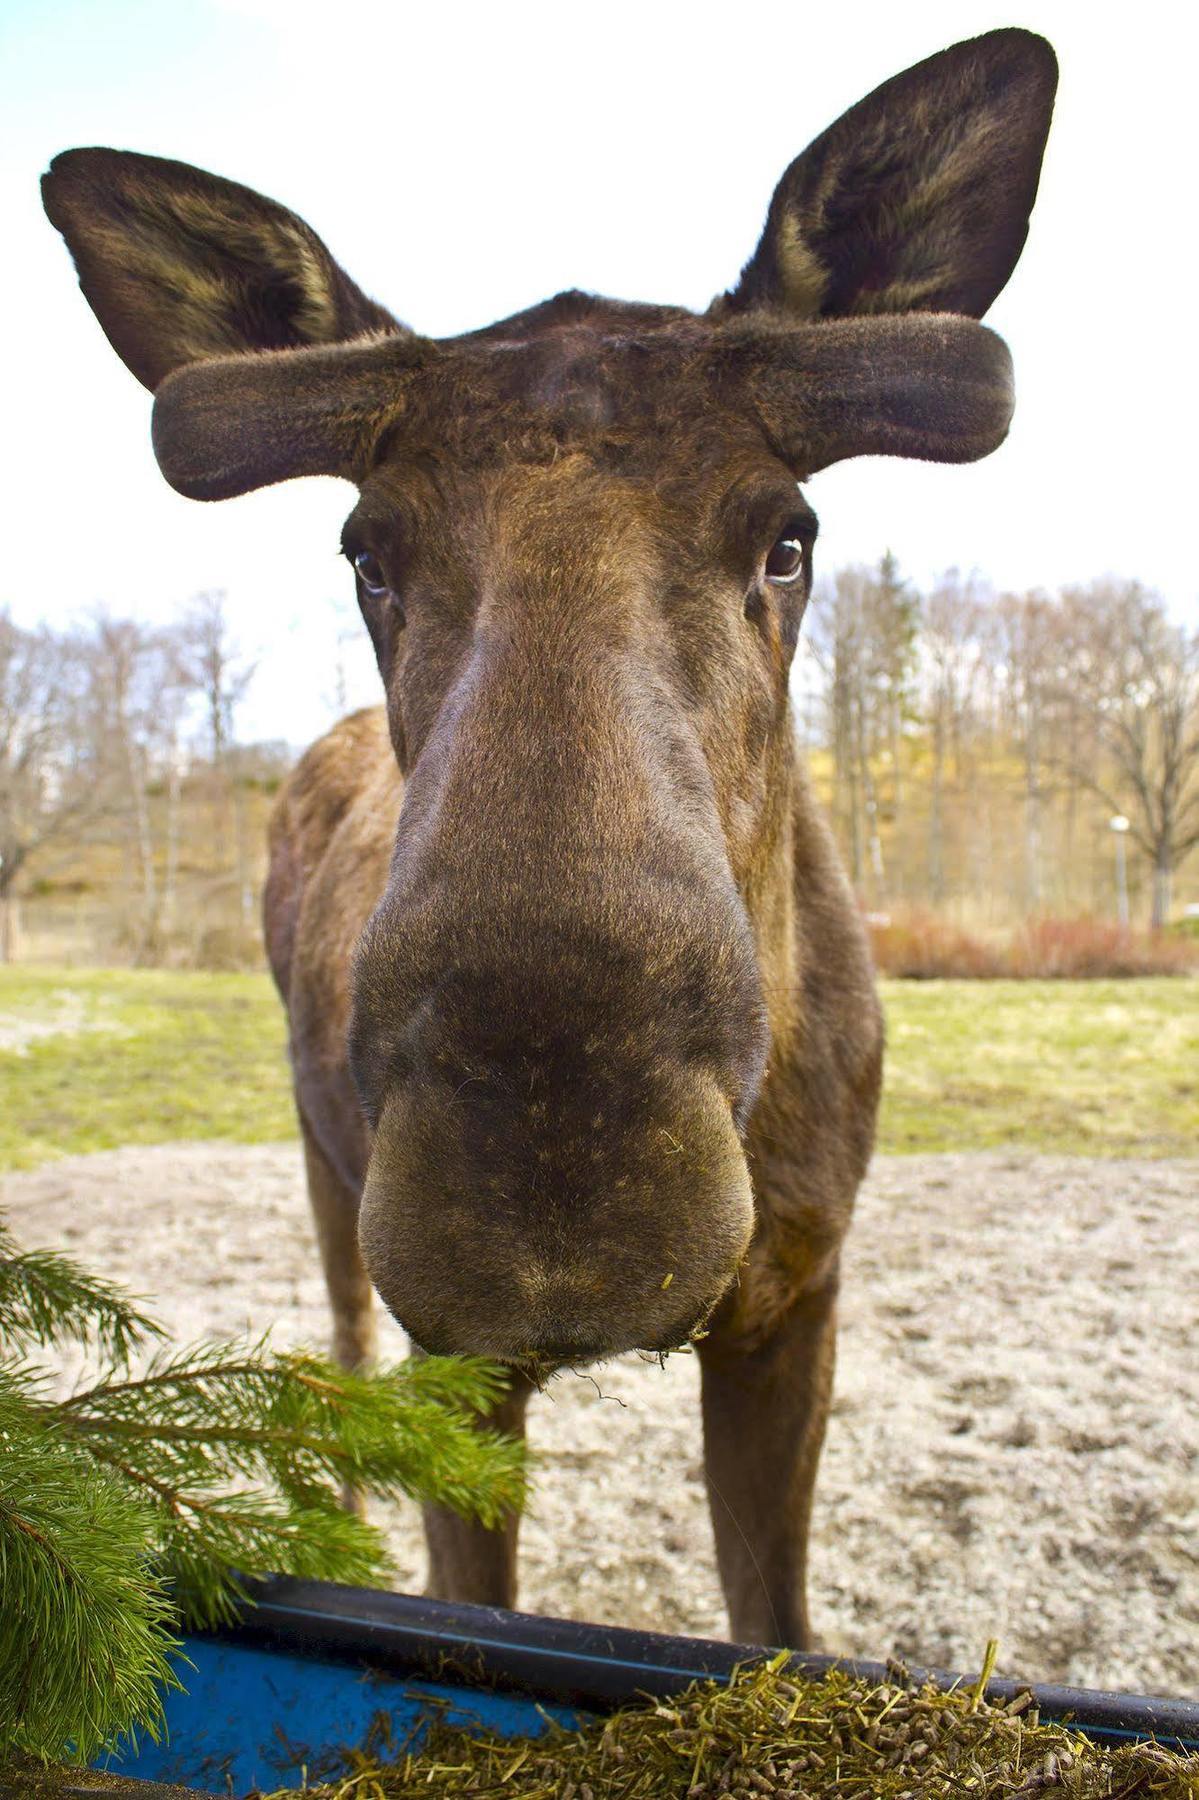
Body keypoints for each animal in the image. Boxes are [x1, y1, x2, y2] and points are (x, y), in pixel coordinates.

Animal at [44, 24, 1058, 1648]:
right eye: (366, 555)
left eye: (789, 537)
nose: (551, 1174)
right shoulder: (455, 1348)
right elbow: (474, 1601)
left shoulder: (797, 1293)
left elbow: (772, 1624)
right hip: (326, 1170)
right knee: (336, 1350)